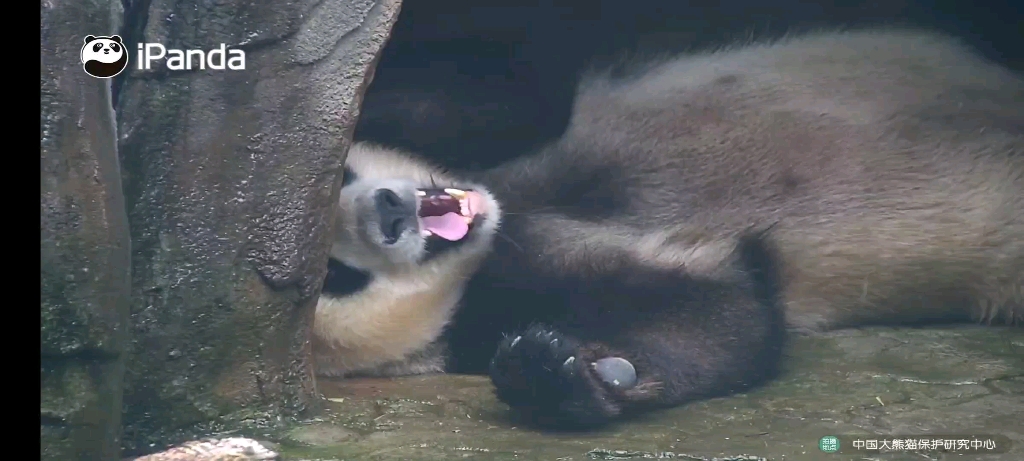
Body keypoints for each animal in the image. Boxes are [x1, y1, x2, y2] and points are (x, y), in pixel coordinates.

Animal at [315, 28, 1019, 428]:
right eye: (340, 277)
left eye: (344, 173)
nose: (390, 209)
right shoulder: (482, 301)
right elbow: (724, 304)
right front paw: (562, 374)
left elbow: (513, 87)